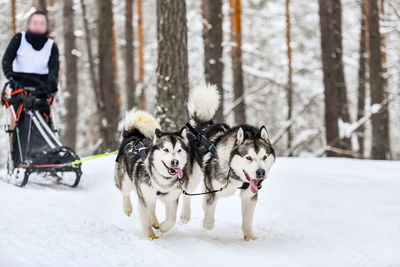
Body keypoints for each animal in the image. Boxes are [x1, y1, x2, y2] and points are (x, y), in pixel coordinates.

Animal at [114, 110, 189, 240]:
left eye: (179, 150)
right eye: (166, 150)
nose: (175, 162)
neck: (162, 180)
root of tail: (134, 136)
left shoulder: (172, 199)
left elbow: (171, 220)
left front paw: (163, 227)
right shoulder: (144, 197)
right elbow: (145, 220)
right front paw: (150, 236)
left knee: (152, 206)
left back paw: (155, 221)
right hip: (126, 181)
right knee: (125, 192)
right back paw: (127, 208)